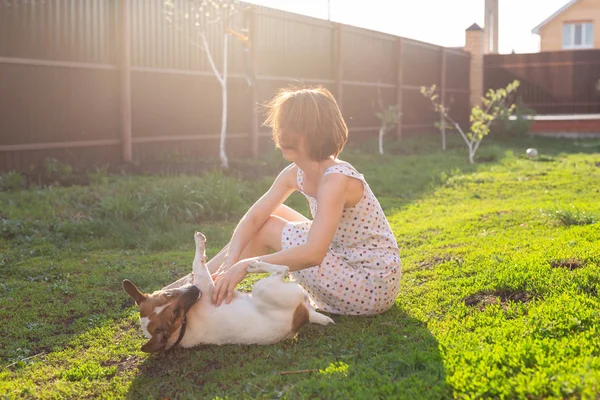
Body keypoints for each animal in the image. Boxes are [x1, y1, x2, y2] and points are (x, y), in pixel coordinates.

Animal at [122, 231, 336, 354]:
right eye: (174, 313)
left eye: (167, 296)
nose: (194, 289)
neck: (182, 327)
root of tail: (305, 315)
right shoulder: (205, 284)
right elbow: (197, 262)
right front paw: (199, 242)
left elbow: (196, 266)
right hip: (262, 289)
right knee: (282, 268)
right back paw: (254, 265)